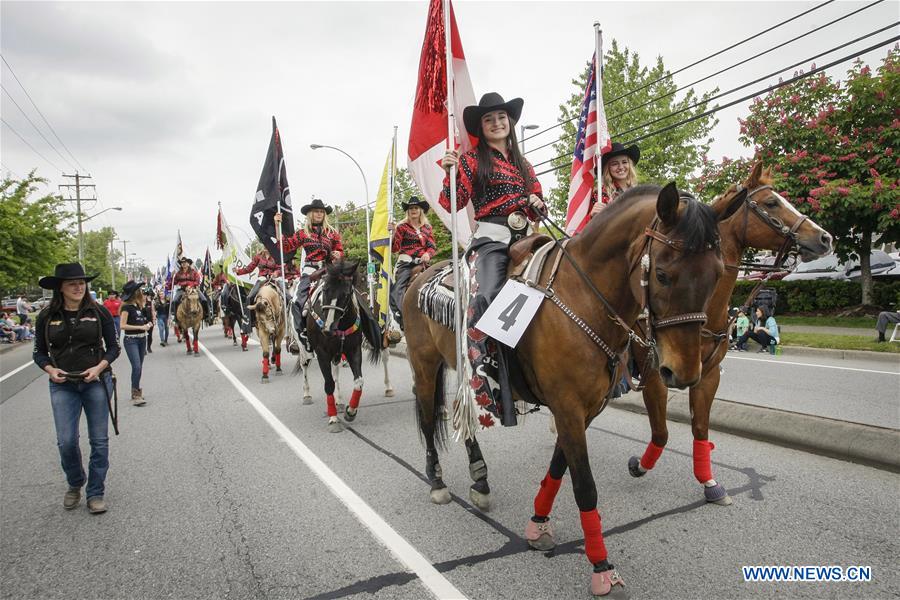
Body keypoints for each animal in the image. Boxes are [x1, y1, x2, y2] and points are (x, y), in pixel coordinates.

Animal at [404, 183, 748, 596]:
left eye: (717, 275)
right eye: (663, 275)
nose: (682, 371)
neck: (582, 298)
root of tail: (420, 278)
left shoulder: (584, 408)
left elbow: (558, 466)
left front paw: (537, 524)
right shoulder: (567, 406)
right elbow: (584, 485)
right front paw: (602, 568)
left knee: (465, 417)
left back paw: (480, 478)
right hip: (424, 364)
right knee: (427, 417)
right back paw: (437, 481)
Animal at [628, 162, 832, 504]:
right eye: (771, 203)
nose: (824, 238)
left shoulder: (707, 375)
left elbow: (700, 428)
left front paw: (709, 483)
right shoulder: (654, 375)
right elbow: (661, 431)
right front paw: (640, 465)